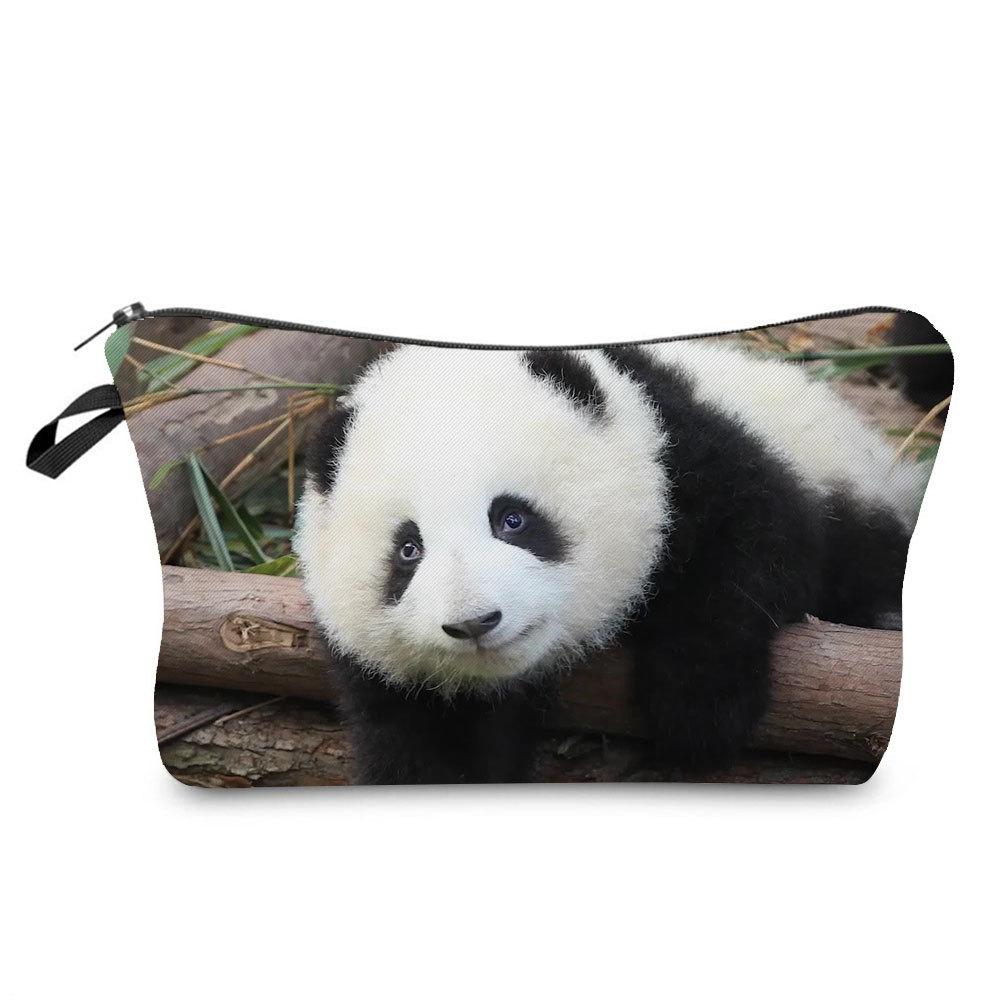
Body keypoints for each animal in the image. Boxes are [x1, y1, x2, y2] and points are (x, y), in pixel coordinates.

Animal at [294, 335, 929, 783]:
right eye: (408, 550)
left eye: (512, 519)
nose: (475, 623)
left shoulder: (677, 448)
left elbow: (755, 547)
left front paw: (700, 711)